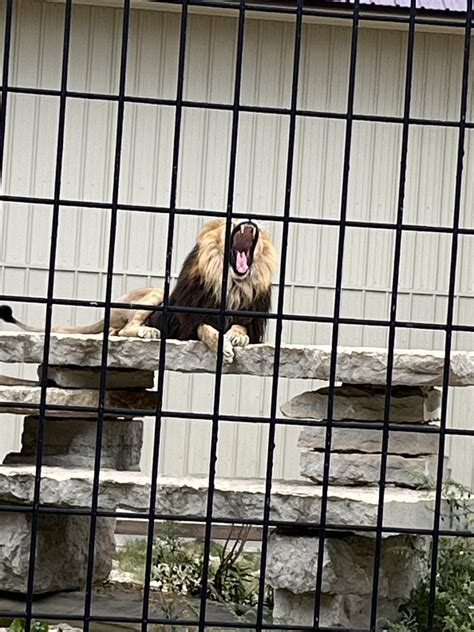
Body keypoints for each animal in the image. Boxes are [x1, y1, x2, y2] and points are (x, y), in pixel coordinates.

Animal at [0, 220, 278, 362]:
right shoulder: (186, 321)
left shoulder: (250, 316)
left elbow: (241, 327)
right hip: (155, 295)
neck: (233, 283)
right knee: (126, 329)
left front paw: (237, 337)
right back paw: (149, 331)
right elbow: (206, 329)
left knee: (115, 330)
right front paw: (222, 345)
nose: (249, 221)